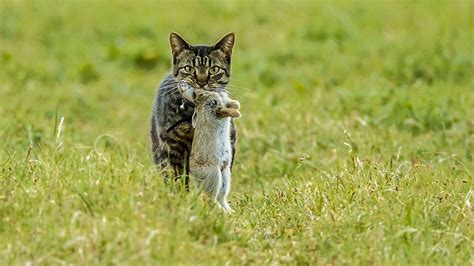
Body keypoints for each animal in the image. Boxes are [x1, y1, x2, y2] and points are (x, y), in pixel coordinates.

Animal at [177, 81, 239, 212]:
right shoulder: (212, 109)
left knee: (221, 197)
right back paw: (223, 213)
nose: (181, 83)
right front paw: (236, 113)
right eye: (195, 95)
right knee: (209, 198)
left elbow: (228, 104)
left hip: (225, 175)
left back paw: (231, 212)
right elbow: (222, 111)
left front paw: (237, 106)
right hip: (213, 175)